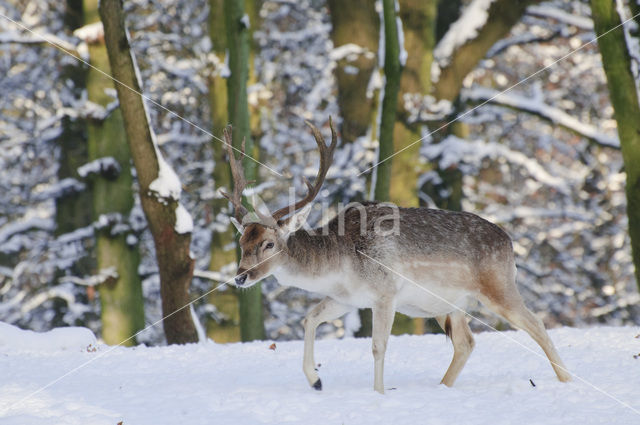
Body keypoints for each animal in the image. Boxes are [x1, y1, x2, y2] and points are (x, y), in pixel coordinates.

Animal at [220, 117, 568, 392]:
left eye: (268, 243)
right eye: (242, 241)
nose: (240, 277)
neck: (341, 266)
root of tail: (510, 242)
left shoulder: (385, 292)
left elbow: (378, 346)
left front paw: (379, 393)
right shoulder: (347, 299)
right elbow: (309, 318)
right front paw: (316, 380)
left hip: (498, 286)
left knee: (537, 324)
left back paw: (566, 381)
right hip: (450, 305)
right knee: (466, 342)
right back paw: (442, 387)